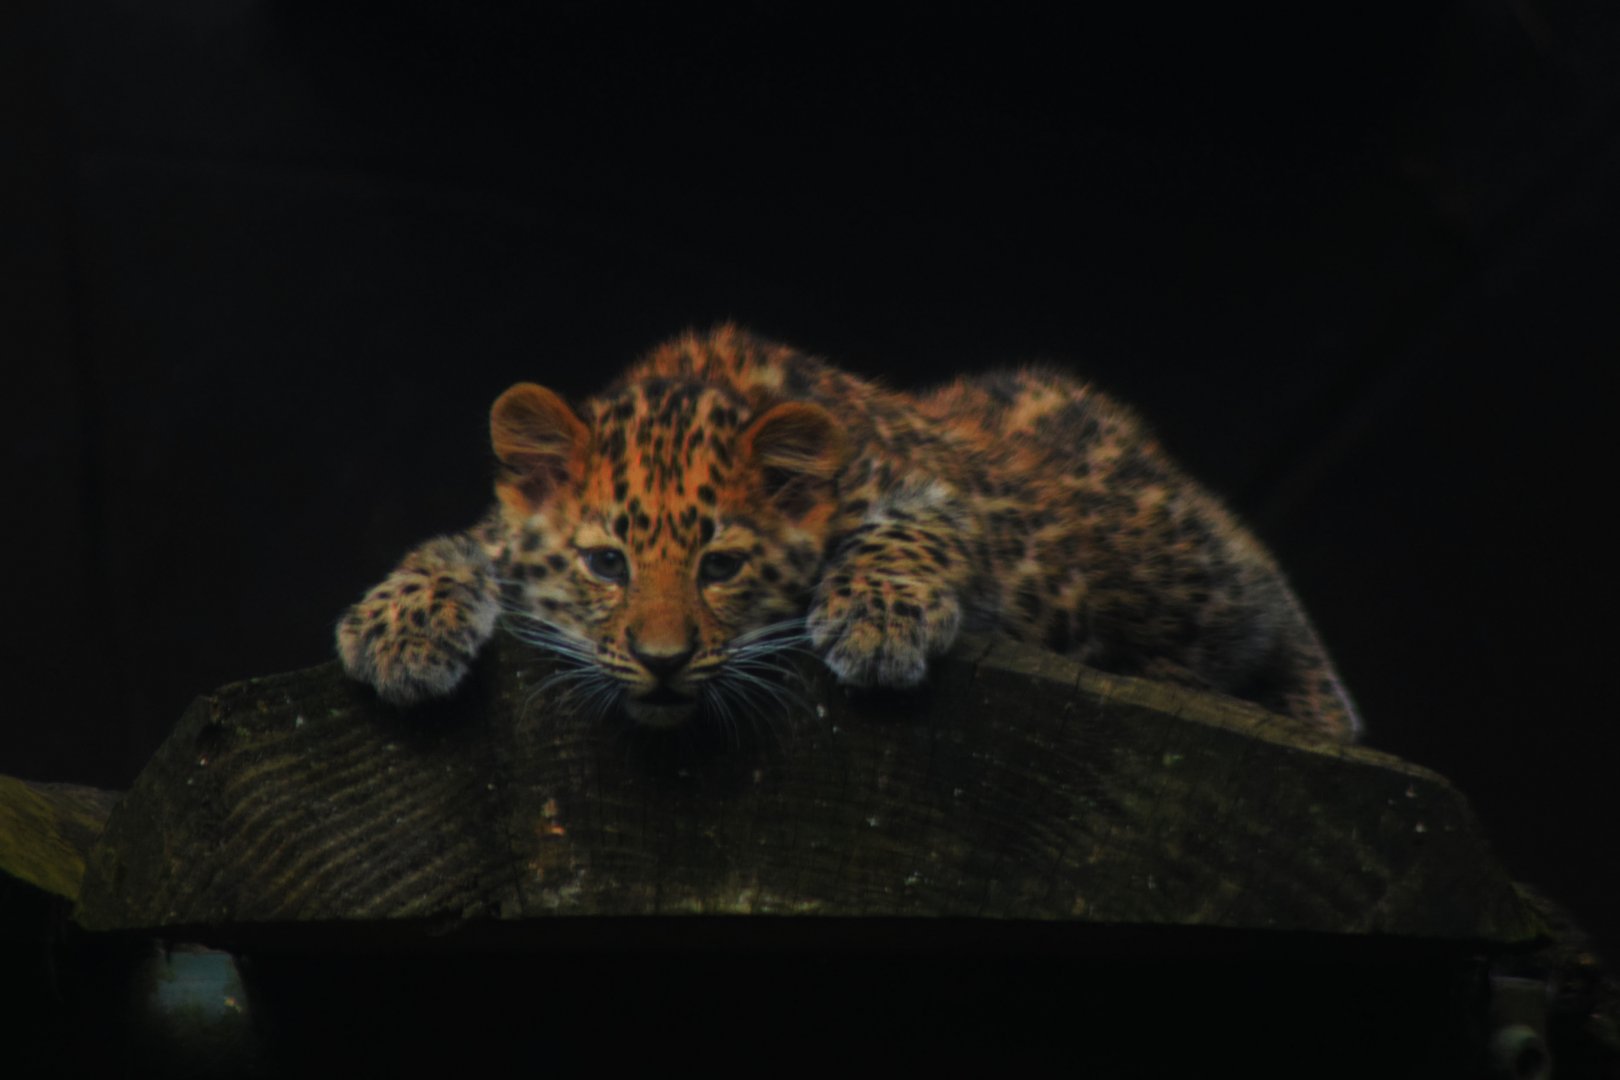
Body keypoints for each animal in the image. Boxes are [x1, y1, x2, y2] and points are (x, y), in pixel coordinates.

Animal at [336, 324, 1362, 740]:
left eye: (722, 566)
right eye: (605, 563)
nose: (665, 662)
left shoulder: (941, 493)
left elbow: (907, 532)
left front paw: (875, 624)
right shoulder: (502, 532)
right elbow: (453, 547)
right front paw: (398, 631)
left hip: (1186, 572)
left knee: (1262, 580)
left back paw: (1327, 716)